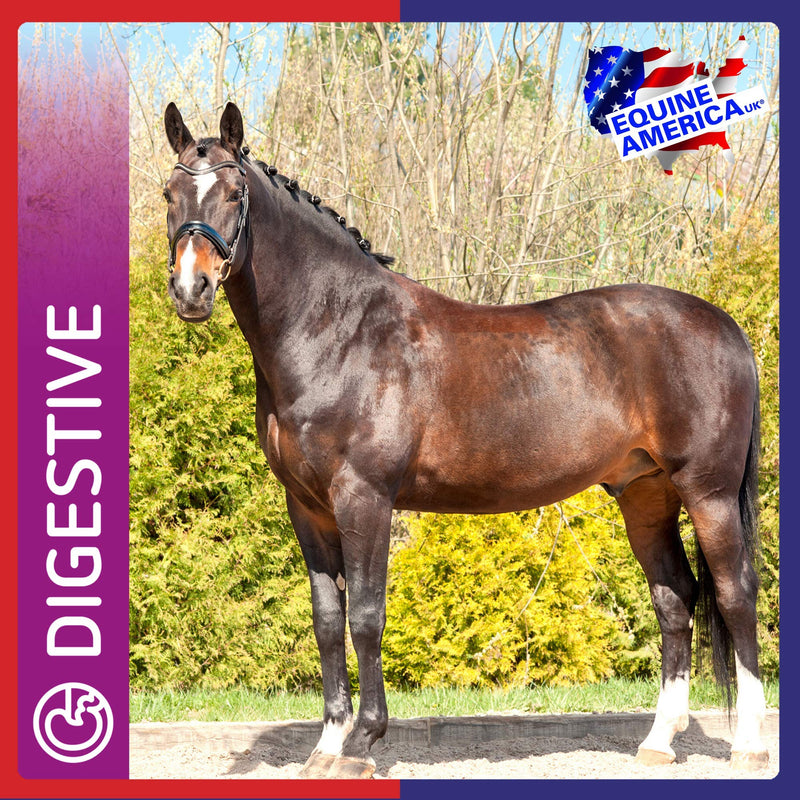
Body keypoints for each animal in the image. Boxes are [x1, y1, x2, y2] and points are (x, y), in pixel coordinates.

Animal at [161, 102, 769, 778]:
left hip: (708, 493)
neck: (339, 332)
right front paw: (327, 746)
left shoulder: (364, 499)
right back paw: (659, 742)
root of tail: (725, 327)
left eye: (234, 193)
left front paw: (364, 743)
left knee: (736, 595)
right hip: (645, 494)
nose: (191, 290)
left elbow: (366, 618)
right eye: (170, 194)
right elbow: (327, 621)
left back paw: (748, 743)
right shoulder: (308, 507)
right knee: (674, 600)